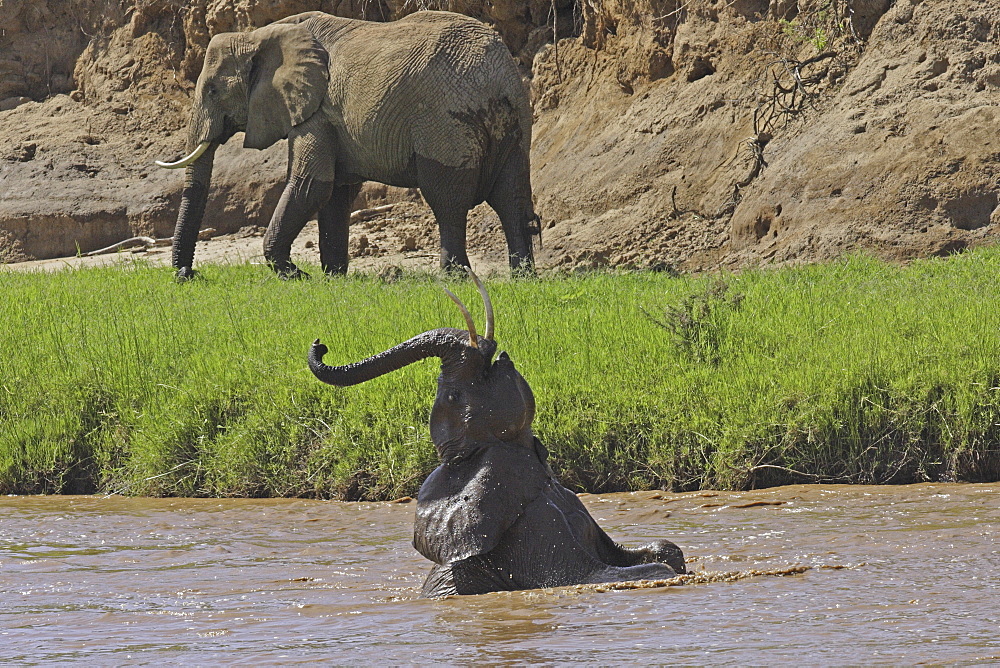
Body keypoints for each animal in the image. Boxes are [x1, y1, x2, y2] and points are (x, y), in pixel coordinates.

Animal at [156, 11, 540, 280]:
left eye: (212, 91)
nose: (187, 275)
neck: (258, 35)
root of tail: (498, 77)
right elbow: (336, 190)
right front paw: (333, 277)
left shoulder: (315, 110)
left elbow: (311, 184)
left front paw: (295, 275)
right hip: (516, 124)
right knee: (511, 196)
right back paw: (523, 278)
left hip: (445, 122)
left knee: (447, 198)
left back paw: (454, 279)